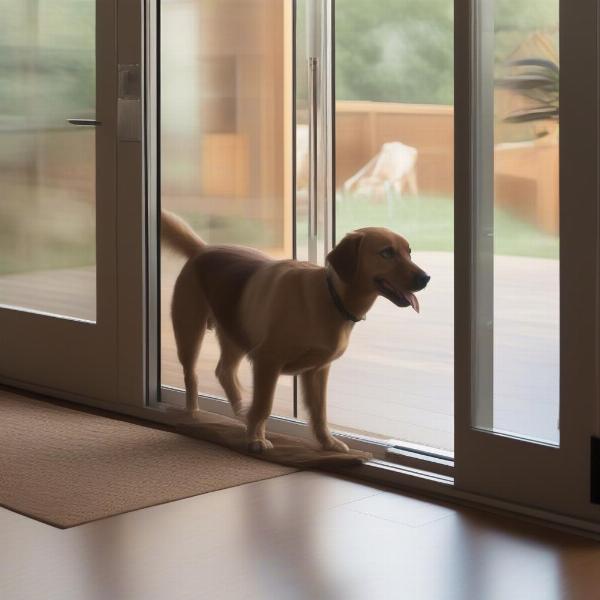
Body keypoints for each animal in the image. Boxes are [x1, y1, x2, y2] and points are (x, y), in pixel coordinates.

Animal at [162, 211, 428, 450]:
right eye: (387, 252)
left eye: (409, 252)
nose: (426, 278)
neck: (330, 297)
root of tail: (203, 250)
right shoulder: (267, 361)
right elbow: (264, 406)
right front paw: (256, 439)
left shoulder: (317, 370)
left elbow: (319, 412)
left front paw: (327, 443)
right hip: (189, 333)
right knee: (192, 376)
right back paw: (194, 413)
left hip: (236, 331)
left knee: (225, 372)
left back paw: (240, 412)